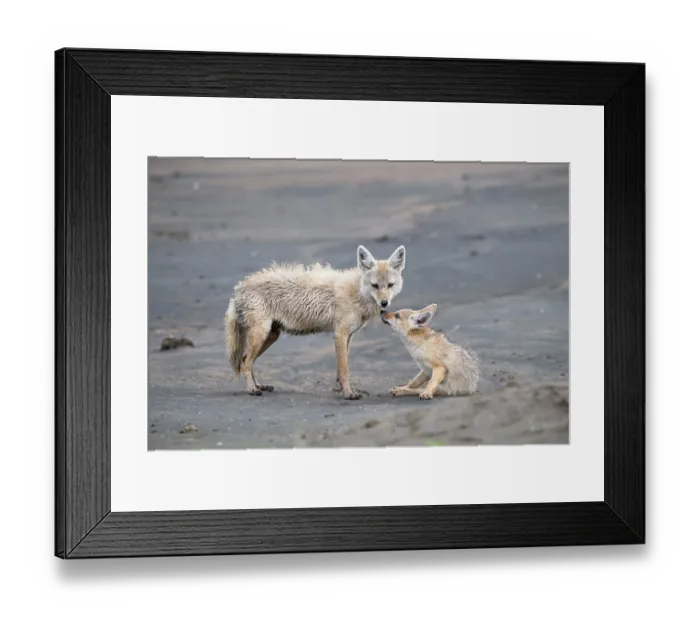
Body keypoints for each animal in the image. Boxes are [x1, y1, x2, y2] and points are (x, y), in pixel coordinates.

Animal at [225, 245, 406, 399]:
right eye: (375, 285)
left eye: (390, 285)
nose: (384, 303)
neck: (357, 291)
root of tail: (239, 288)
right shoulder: (340, 335)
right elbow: (344, 370)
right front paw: (348, 393)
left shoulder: (348, 336)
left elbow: (341, 369)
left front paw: (341, 389)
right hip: (261, 335)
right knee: (245, 363)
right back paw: (251, 389)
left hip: (271, 336)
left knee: (245, 360)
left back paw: (259, 386)